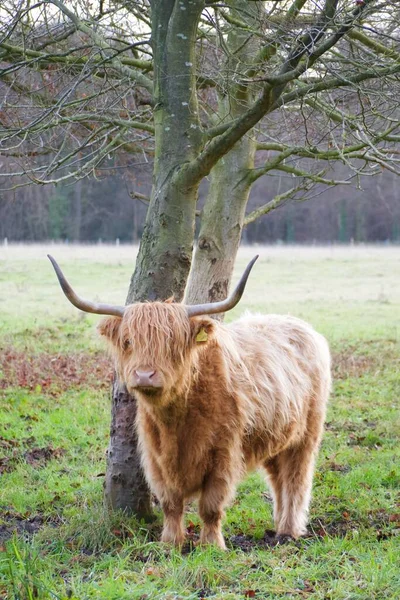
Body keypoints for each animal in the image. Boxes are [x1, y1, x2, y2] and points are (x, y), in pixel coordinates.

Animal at [49, 253, 332, 548]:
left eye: (171, 342)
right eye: (128, 341)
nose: (144, 375)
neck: (176, 419)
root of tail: (302, 326)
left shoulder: (223, 454)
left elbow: (211, 505)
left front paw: (212, 545)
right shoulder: (156, 456)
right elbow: (170, 503)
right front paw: (170, 543)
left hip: (306, 435)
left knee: (296, 480)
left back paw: (289, 530)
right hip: (276, 435)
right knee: (278, 480)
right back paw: (278, 526)